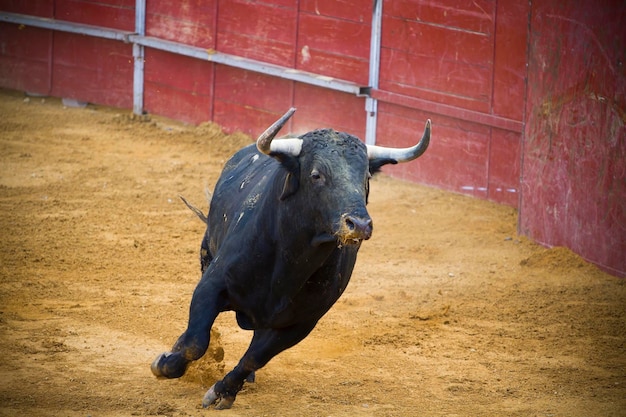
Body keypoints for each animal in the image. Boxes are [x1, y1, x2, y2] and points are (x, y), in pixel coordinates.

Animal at [151, 108, 428, 410]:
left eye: (366, 176)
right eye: (316, 174)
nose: (359, 224)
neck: (289, 259)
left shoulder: (301, 323)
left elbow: (254, 358)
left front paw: (223, 392)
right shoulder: (211, 285)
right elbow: (195, 342)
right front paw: (165, 364)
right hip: (206, 253)